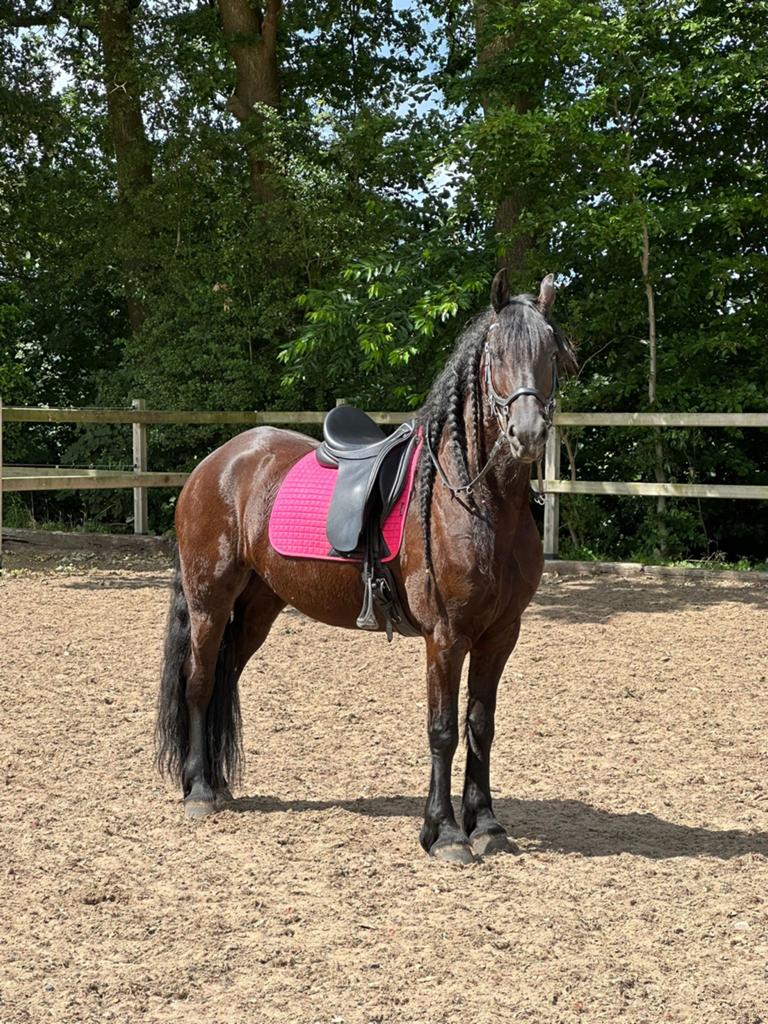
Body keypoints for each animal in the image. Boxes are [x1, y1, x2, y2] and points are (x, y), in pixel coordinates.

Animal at [156, 270, 577, 863]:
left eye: (552, 352)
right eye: (497, 353)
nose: (528, 433)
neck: (480, 501)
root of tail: (215, 464)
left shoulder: (500, 634)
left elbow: (481, 725)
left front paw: (487, 825)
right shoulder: (446, 636)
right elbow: (443, 729)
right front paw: (445, 833)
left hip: (259, 604)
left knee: (223, 677)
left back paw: (216, 784)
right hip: (208, 600)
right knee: (198, 680)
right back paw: (197, 792)